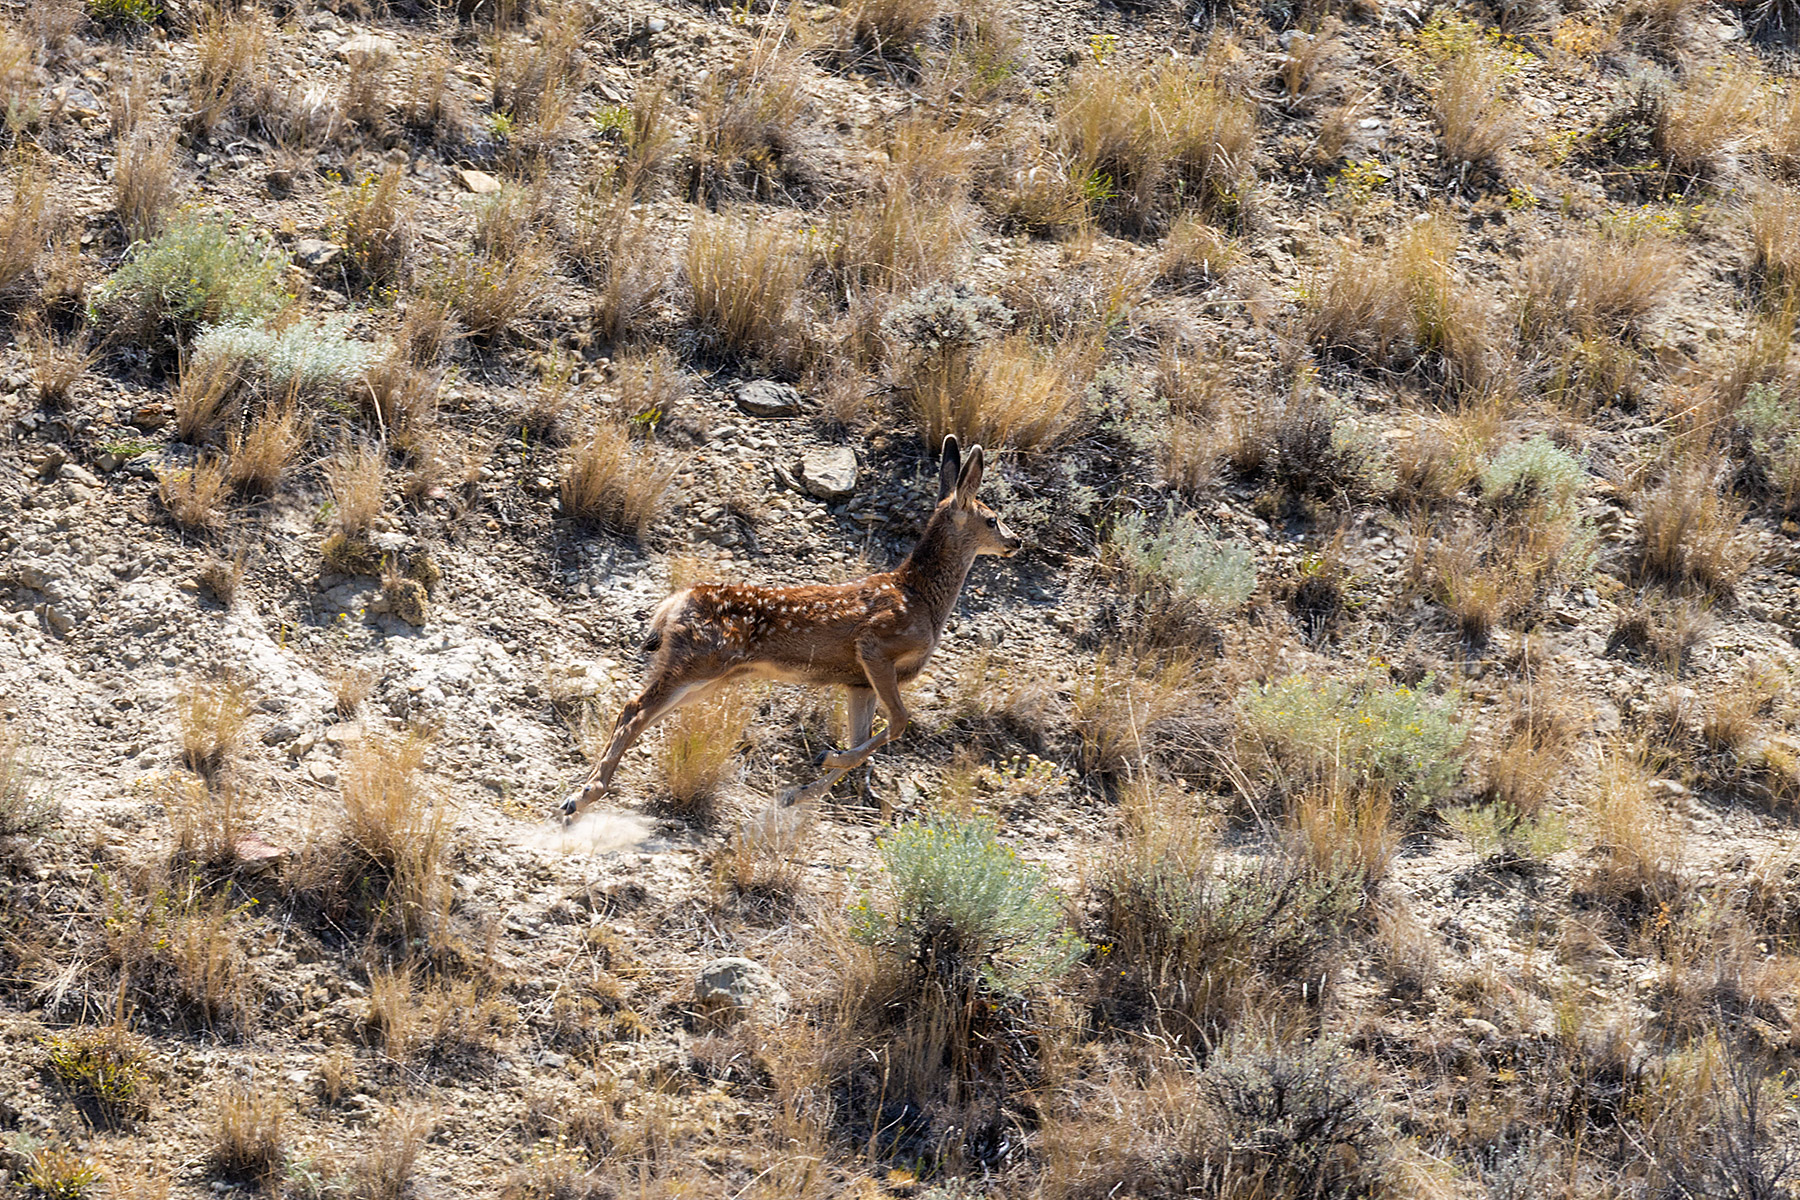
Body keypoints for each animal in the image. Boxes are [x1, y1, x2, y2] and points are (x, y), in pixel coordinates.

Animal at [560, 436, 1022, 821]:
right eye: (992, 519)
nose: (1015, 541)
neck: (921, 598)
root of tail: (675, 602)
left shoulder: (858, 683)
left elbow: (865, 742)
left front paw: (798, 792)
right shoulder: (875, 646)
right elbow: (898, 723)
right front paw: (822, 762)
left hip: (707, 674)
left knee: (641, 711)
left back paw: (581, 793)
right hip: (699, 659)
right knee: (635, 709)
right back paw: (581, 797)